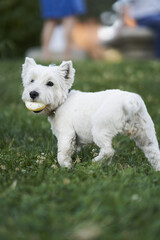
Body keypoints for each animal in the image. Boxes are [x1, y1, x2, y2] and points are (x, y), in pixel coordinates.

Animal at [21, 57, 160, 171]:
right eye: (31, 80)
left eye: (50, 83)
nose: (33, 93)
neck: (63, 101)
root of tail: (132, 101)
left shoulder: (66, 133)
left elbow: (63, 152)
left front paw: (66, 167)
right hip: (146, 135)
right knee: (154, 153)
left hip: (101, 129)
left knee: (108, 151)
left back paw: (95, 163)